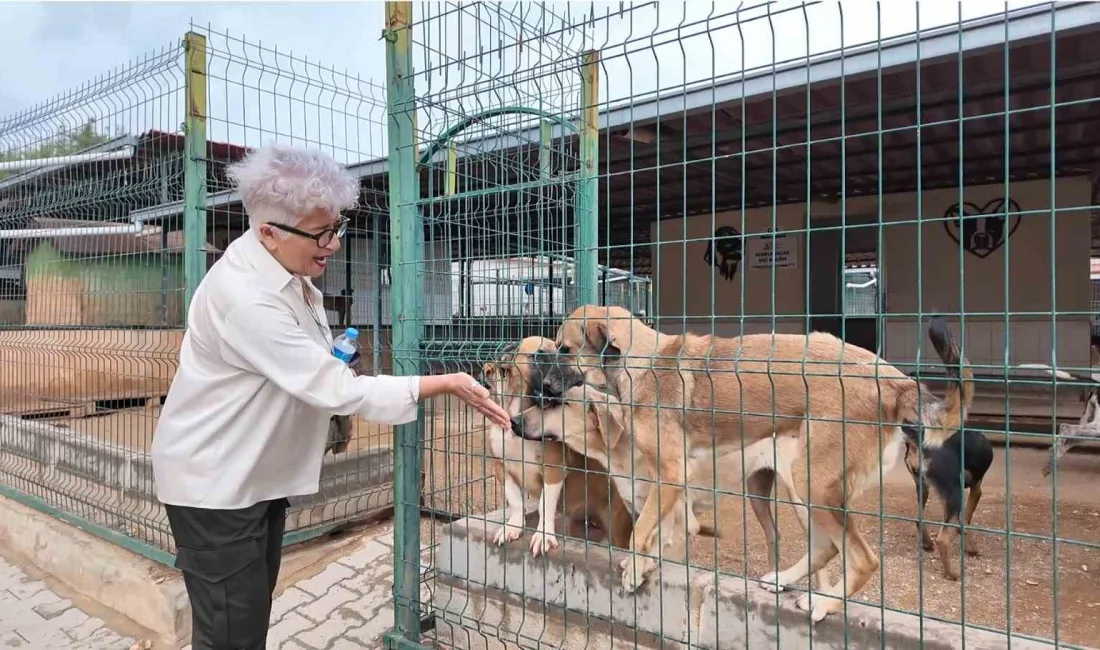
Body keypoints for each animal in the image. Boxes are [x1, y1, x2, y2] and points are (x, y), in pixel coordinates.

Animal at [484, 338, 638, 556]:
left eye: (561, 353)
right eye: (538, 356)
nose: (568, 377)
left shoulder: (553, 471)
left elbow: (544, 506)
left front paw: (543, 535)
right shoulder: (502, 468)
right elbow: (516, 502)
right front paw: (513, 526)